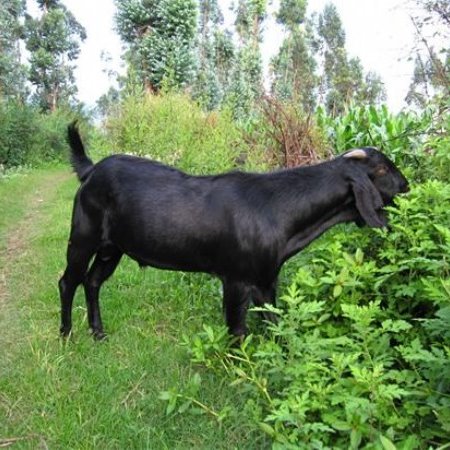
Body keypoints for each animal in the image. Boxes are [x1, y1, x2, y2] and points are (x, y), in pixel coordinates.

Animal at [58, 121, 410, 340]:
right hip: (83, 235)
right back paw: (66, 334)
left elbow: (274, 324)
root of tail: (90, 171)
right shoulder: (235, 279)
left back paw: (98, 332)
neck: (276, 210)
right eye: (382, 169)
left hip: (112, 248)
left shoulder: (266, 280)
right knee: (68, 281)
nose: (407, 186)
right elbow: (237, 332)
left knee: (92, 282)